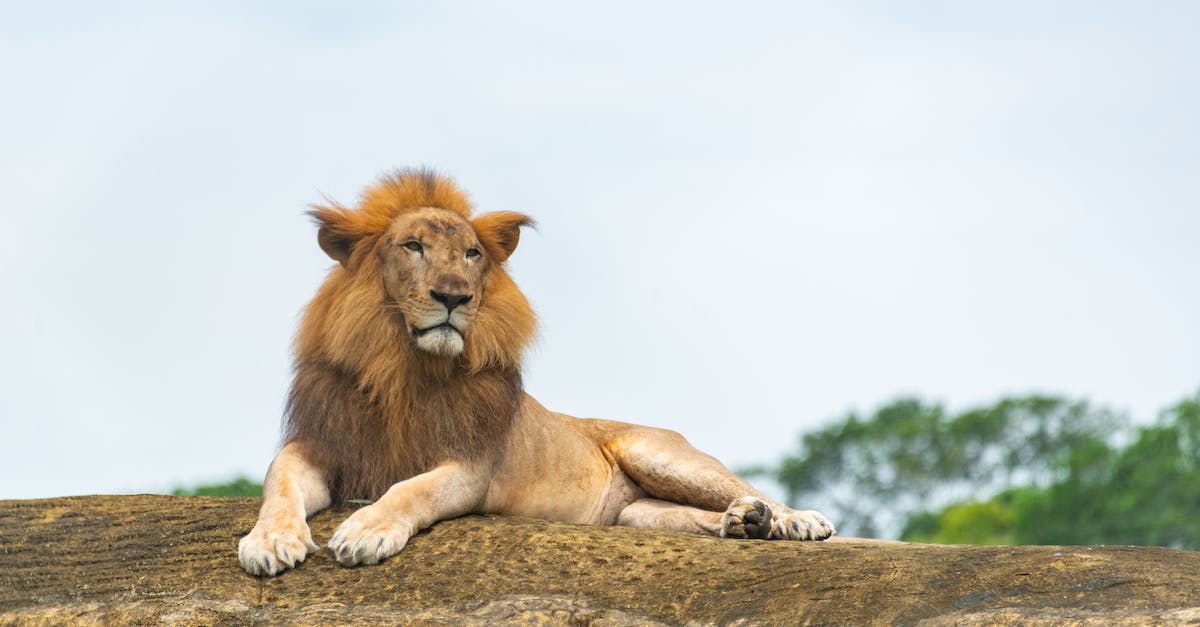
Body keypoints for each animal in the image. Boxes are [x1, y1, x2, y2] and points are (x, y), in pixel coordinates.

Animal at [234, 168, 835, 574]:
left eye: (472, 254)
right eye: (413, 246)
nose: (453, 297)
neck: (403, 366)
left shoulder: (470, 466)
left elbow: (411, 489)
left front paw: (365, 530)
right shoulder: (322, 444)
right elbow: (278, 483)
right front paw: (269, 542)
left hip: (656, 453)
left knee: (744, 487)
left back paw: (792, 519)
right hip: (635, 515)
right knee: (687, 517)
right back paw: (743, 522)